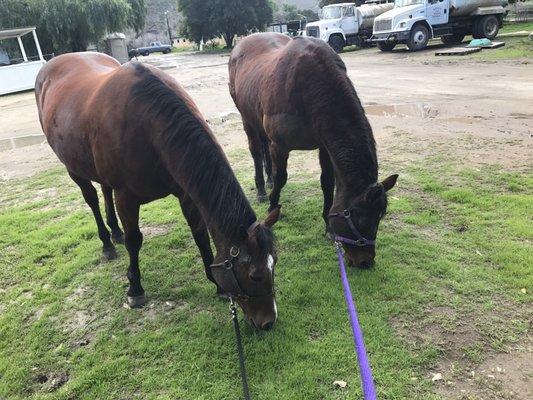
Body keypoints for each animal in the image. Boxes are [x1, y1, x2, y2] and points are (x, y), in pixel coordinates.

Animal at [35, 51, 280, 330]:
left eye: (274, 263)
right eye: (254, 275)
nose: (269, 322)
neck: (147, 125)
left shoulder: (185, 194)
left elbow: (200, 235)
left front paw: (216, 285)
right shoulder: (126, 197)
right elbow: (134, 241)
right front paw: (135, 289)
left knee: (104, 191)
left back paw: (115, 233)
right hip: (74, 170)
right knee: (93, 201)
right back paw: (107, 243)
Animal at [227, 32, 396, 268]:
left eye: (380, 217)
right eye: (359, 218)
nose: (365, 262)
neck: (309, 87)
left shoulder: (324, 146)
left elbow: (327, 183)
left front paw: (327, 225)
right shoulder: (280, 146)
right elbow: (282, 178)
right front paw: (272, 206)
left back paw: (267, 182)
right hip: (247, 120)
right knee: (256, 151)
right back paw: (261, 189)